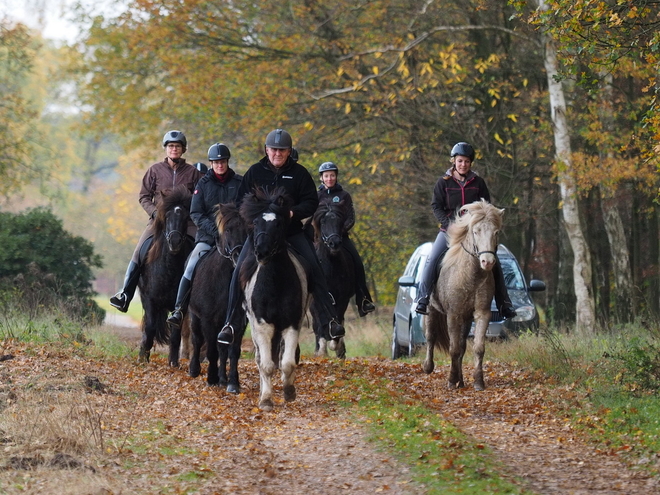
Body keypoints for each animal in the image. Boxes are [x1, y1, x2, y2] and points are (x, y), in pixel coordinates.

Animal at [137, 184, 193, 362]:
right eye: (167, 216)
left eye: (186, 217)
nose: (174, 242)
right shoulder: (149, 300)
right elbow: (149, 329)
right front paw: (143, 358)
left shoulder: (180, 305)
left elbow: (176, 334)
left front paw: (173, 362)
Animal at [186, 203, 248, 394]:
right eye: (228, 229)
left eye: (248, 229)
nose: (239, 257)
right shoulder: (208, 319)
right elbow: (211, 349)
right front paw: (211, 378)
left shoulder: (238, 321)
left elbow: (233, 351)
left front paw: (233, 383)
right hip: (194, 316)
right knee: (197, 339)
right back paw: (195, 369)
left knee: (222, 348)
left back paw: (223, 378)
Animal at [238, 188, 310, 412]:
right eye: (255, 223)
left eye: (277, 224)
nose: (261, 252)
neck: (275, 282)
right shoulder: (262, 326)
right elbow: (266, 365)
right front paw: (266, 400)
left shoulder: (292, 324)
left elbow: (287, 362)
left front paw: (289, 391)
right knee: (261, 359)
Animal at [310, 202, 356, 360]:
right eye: (323, 222)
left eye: (339, 222)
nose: (334, 243)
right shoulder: (316, 300)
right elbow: (319, 323)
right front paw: (321, 350)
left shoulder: (342, 299)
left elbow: (339, 319)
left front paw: (336, 345)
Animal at [422, 201, 506, 392]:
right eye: (476, 231)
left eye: (496, 232)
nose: (487, 262)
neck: (471, 275)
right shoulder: (453, 314)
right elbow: (453, 349)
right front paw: (451, 381)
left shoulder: (481, 313)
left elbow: (477, 347)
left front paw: (478, 381)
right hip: (431, 309)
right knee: (431, 337)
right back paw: (428, 367)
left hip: (467, 319)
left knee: (462, 345)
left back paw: (461, 380)